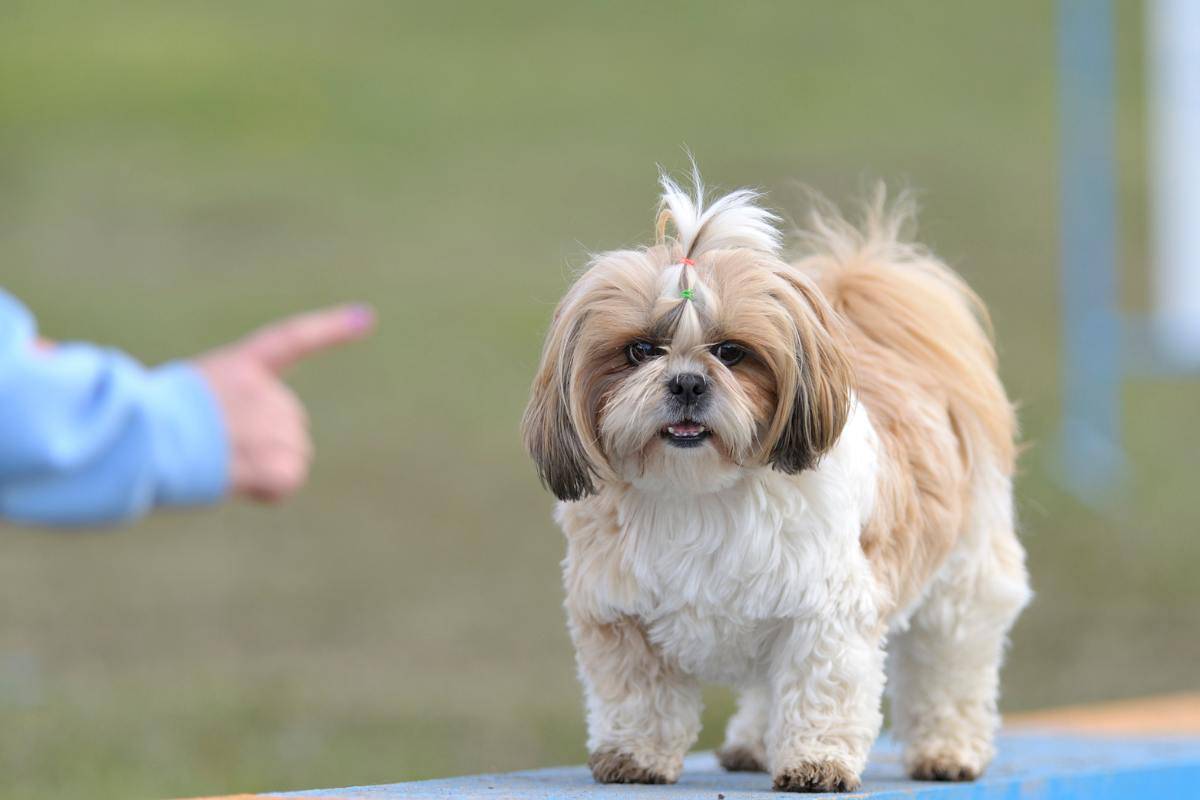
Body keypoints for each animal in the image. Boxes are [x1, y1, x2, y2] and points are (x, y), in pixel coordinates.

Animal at [520, 169, 1027, 796]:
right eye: (640, 350)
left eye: (731, 353)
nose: (687, 382)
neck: (699, 492)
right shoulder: (618, 613)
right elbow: (640, 696)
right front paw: (634, 755)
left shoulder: (824, 610)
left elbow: (820, 688)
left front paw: (817, 762)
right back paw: (754, 744)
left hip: (965, 578)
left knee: (950, 666)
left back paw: (948, 749)